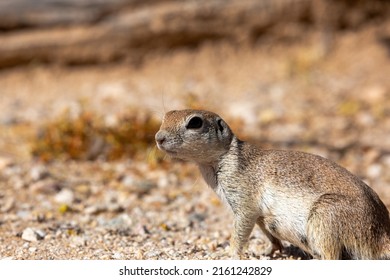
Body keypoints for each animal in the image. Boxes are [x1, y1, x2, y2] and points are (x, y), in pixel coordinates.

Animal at [155, 108, 390, 260]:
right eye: (165, 116)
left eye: (195, 122)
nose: (158, 138)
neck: (225, 157)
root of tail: (381, 235)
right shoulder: (259, 217)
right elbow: (271, 237)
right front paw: (267, 252)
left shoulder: (244, 199)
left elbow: (240, 230)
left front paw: (228, 253)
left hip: (326, 215)